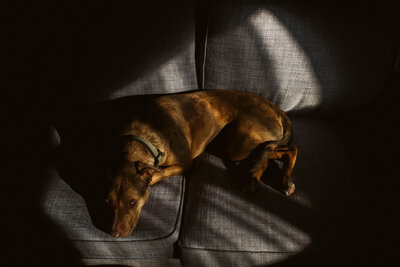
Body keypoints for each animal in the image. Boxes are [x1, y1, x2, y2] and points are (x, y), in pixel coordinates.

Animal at [103, 90, 296, 239]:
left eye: (133, 202)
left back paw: (284, 182)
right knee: (264, 158)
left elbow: (159, 173)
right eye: (108, 202)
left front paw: (152, 178)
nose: (114, 234)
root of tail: (277, 109)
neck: (141, 137)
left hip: (239, 144)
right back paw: (252, 181)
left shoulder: (185, 163)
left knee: (286, 149)